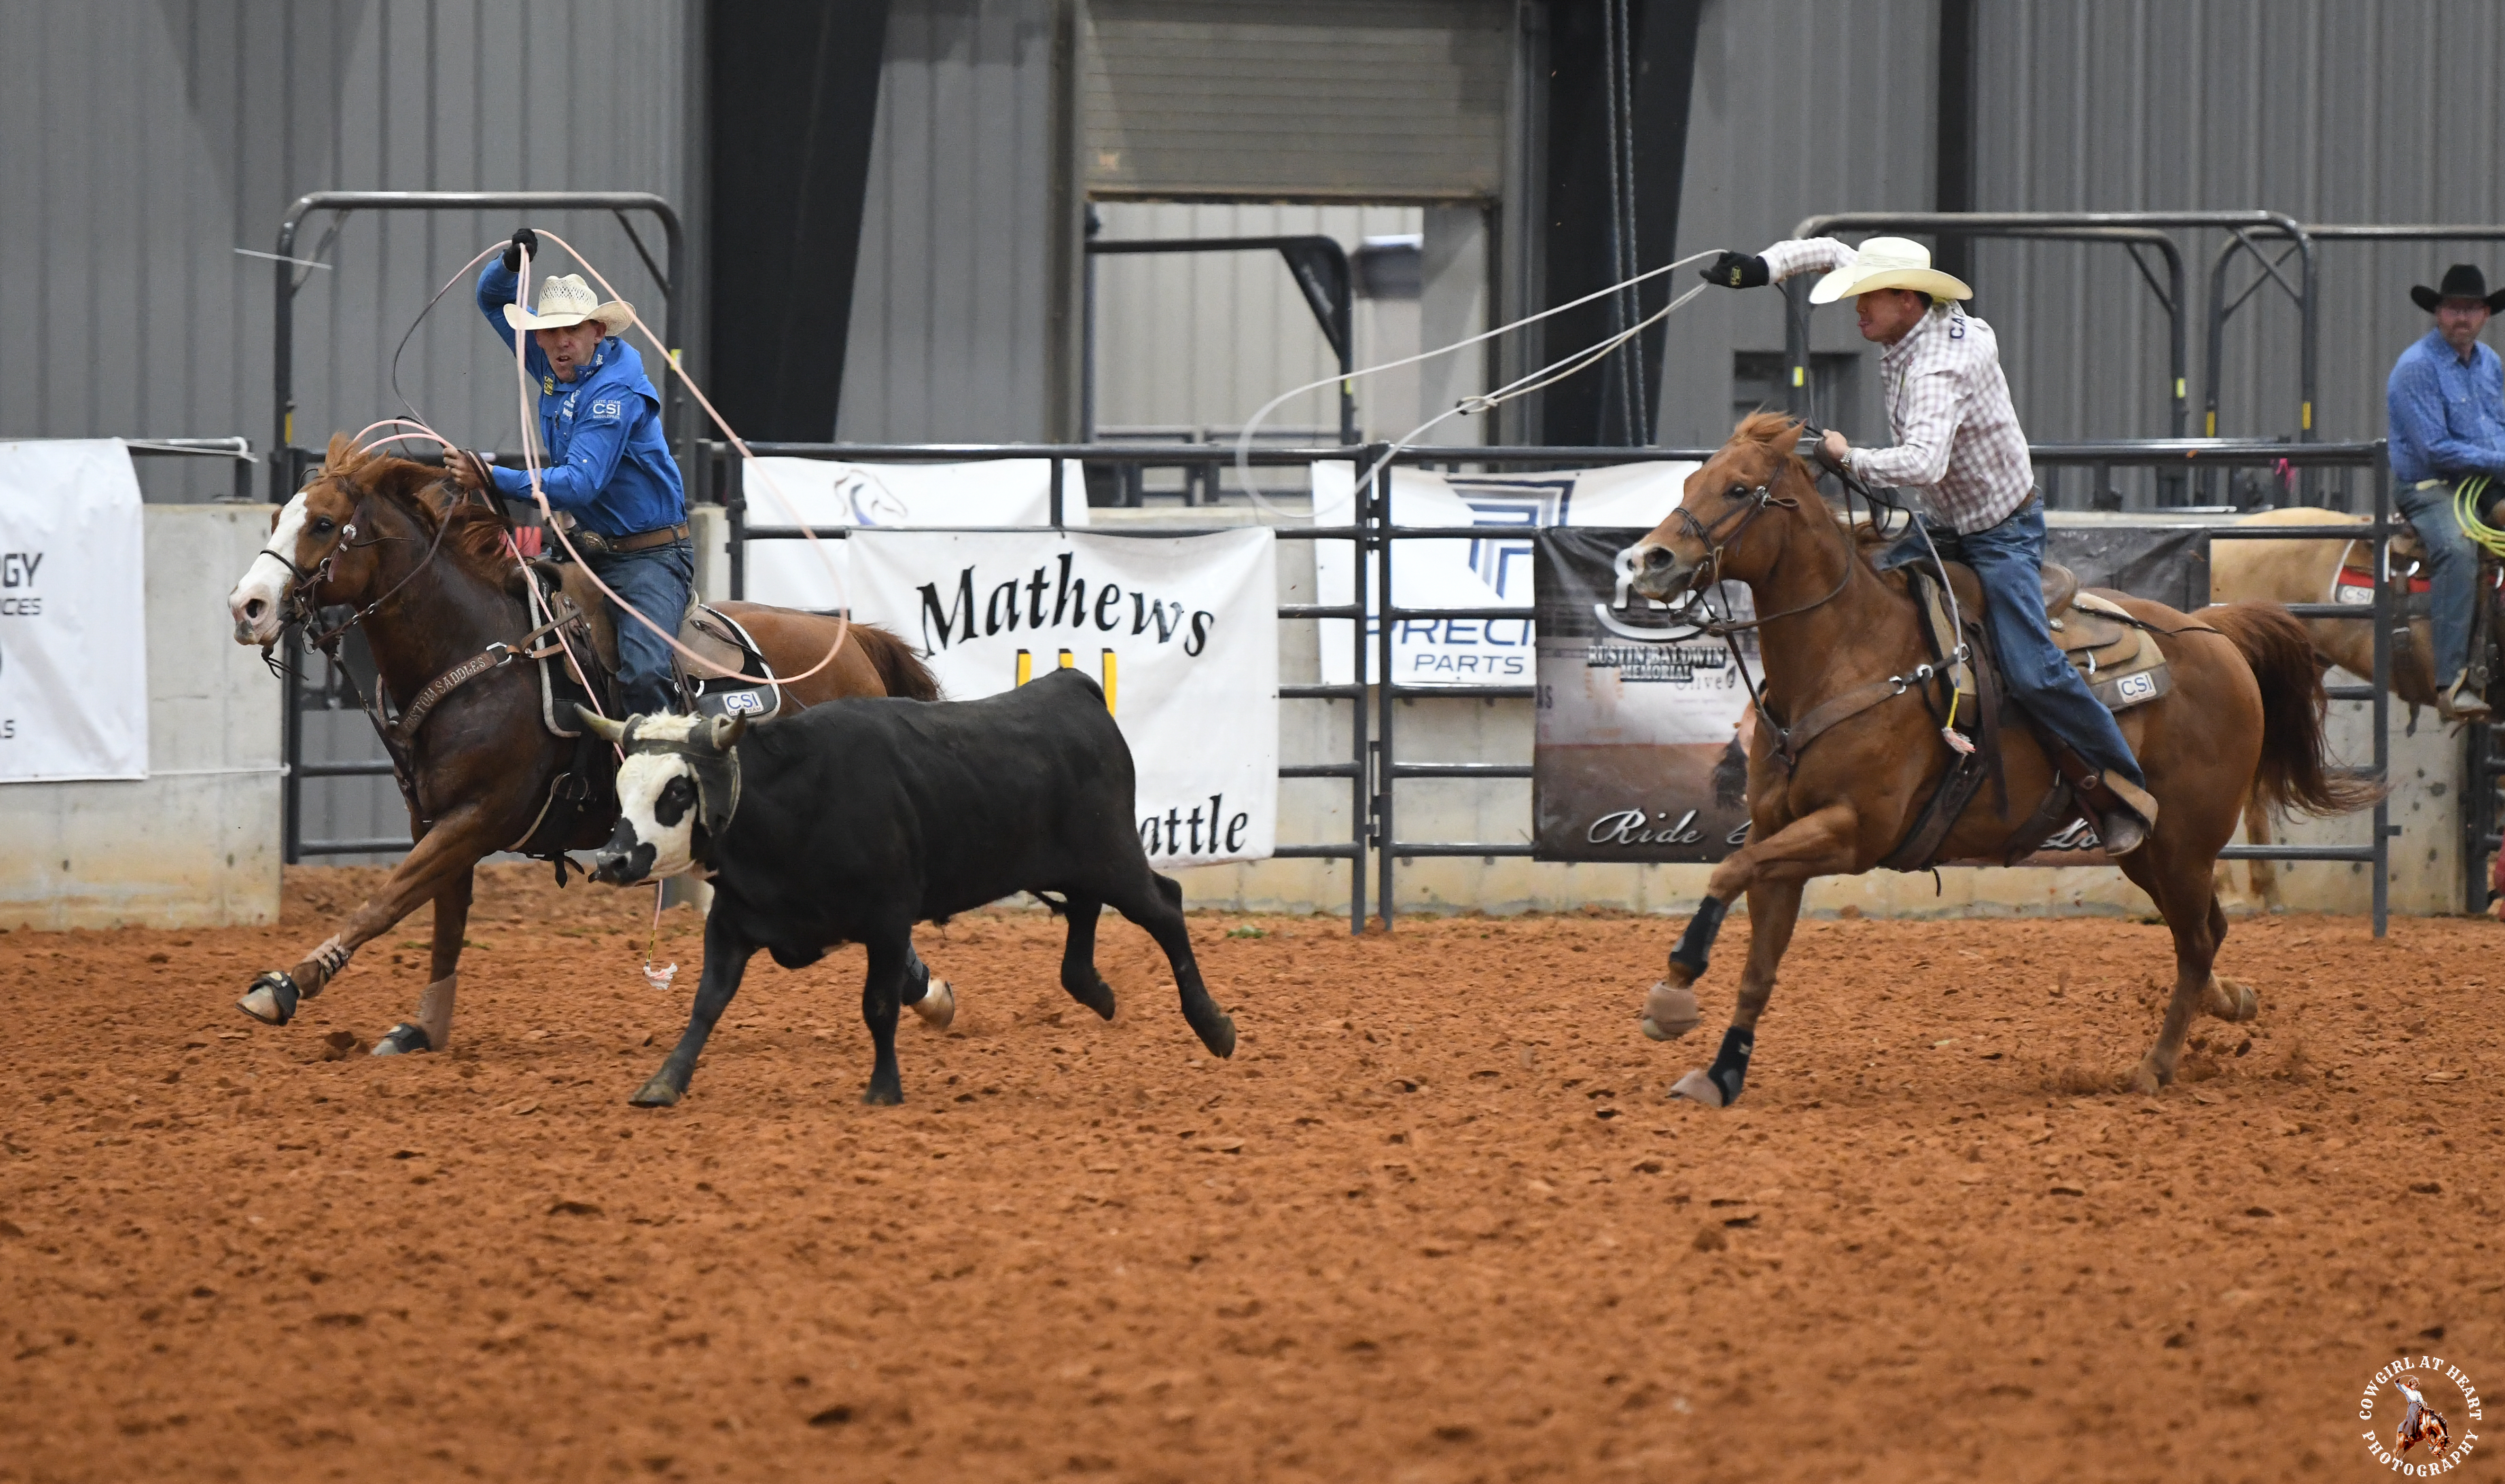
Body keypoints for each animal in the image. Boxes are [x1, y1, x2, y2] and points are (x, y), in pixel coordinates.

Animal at [578, 668, 1237, 1107]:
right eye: (623, 784)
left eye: (676, 790)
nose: (610, 859)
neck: (793, 802)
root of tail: (1072, 686)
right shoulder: (735, 921)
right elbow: (708, 1002)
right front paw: (665, 1081)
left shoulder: (888, 920)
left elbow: (879, 1004)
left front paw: (883, 1087)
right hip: (1073, 864)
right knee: (1084, 917)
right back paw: (1098, 992)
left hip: (1113, 856)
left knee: (1165, 908)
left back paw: (1213, 1026)